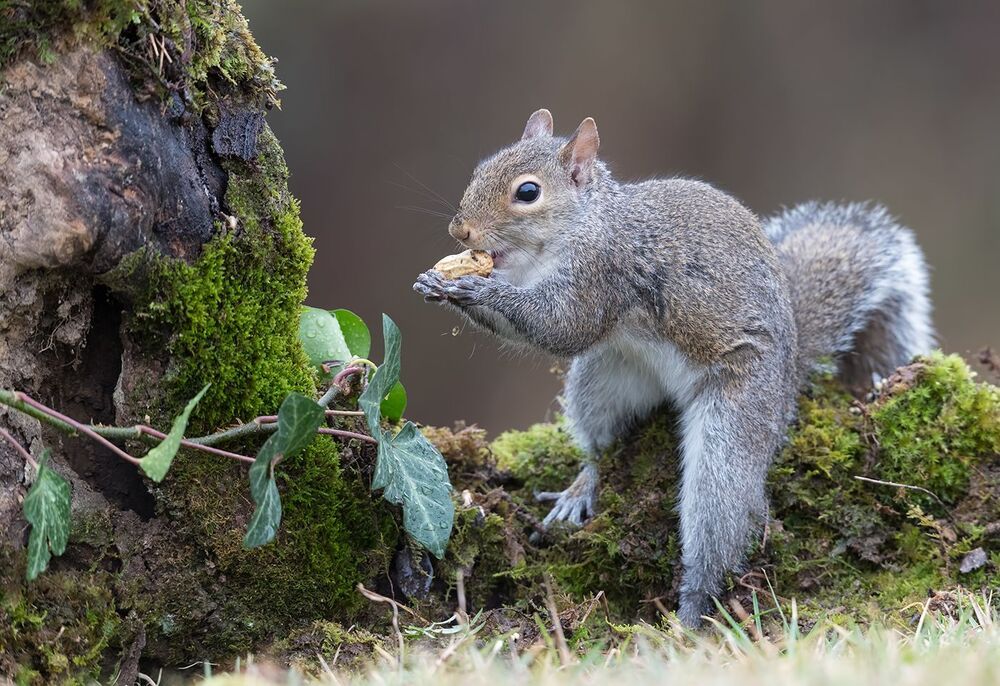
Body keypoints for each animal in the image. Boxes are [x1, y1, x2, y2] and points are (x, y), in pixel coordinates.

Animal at [413, 109, 933, 626]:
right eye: (481, 168)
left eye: (527, 192)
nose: (461, 232)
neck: (580, 226)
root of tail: (789, 374)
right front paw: (436, 282)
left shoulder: (602, 272)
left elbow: (563, 328)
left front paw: (478, 290)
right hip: (605, 379)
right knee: (602, 446)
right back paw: (582, 488)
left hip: (739, 415)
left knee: (718, 513)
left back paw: (691, 609)